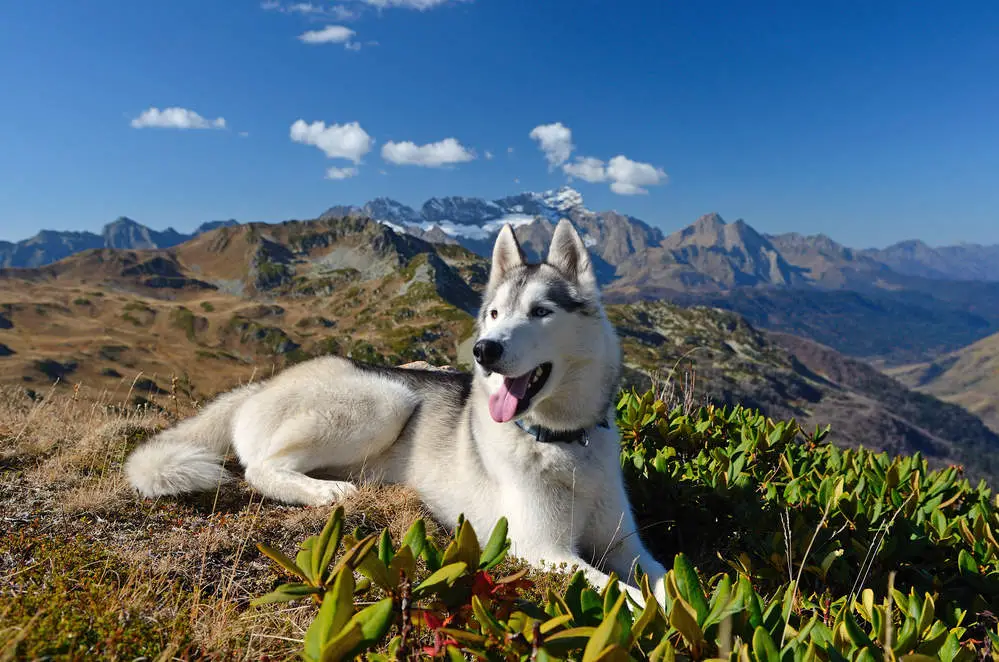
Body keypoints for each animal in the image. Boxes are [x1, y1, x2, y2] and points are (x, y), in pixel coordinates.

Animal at [129, 220, 668, 608]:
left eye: (540, 312)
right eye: (495, 313)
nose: (484, 351)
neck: (563, 443)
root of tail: (260, 386)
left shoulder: (626, 547)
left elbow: (669, 580)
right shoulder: (544, 549)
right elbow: (626, 594)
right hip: (387, 400)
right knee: (260, 468)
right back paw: (328, 492)